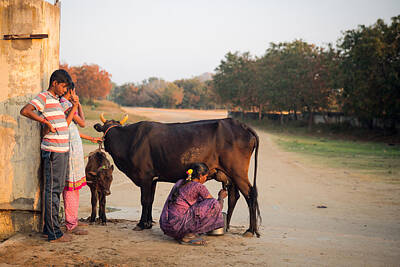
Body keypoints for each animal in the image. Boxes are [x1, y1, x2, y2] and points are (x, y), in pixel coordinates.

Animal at [95, 115, 260, 237]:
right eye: (105, 130)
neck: (129, 141)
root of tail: (239, 124)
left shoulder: (145, 177)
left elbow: (144, 200)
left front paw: (141, 224)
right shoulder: (152, 179)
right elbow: (150, 200)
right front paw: (148, 223)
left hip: (238, 172)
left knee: (250, 194)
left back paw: (250, 230)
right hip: (230, 175)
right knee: (234, 196)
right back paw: (228, 226)